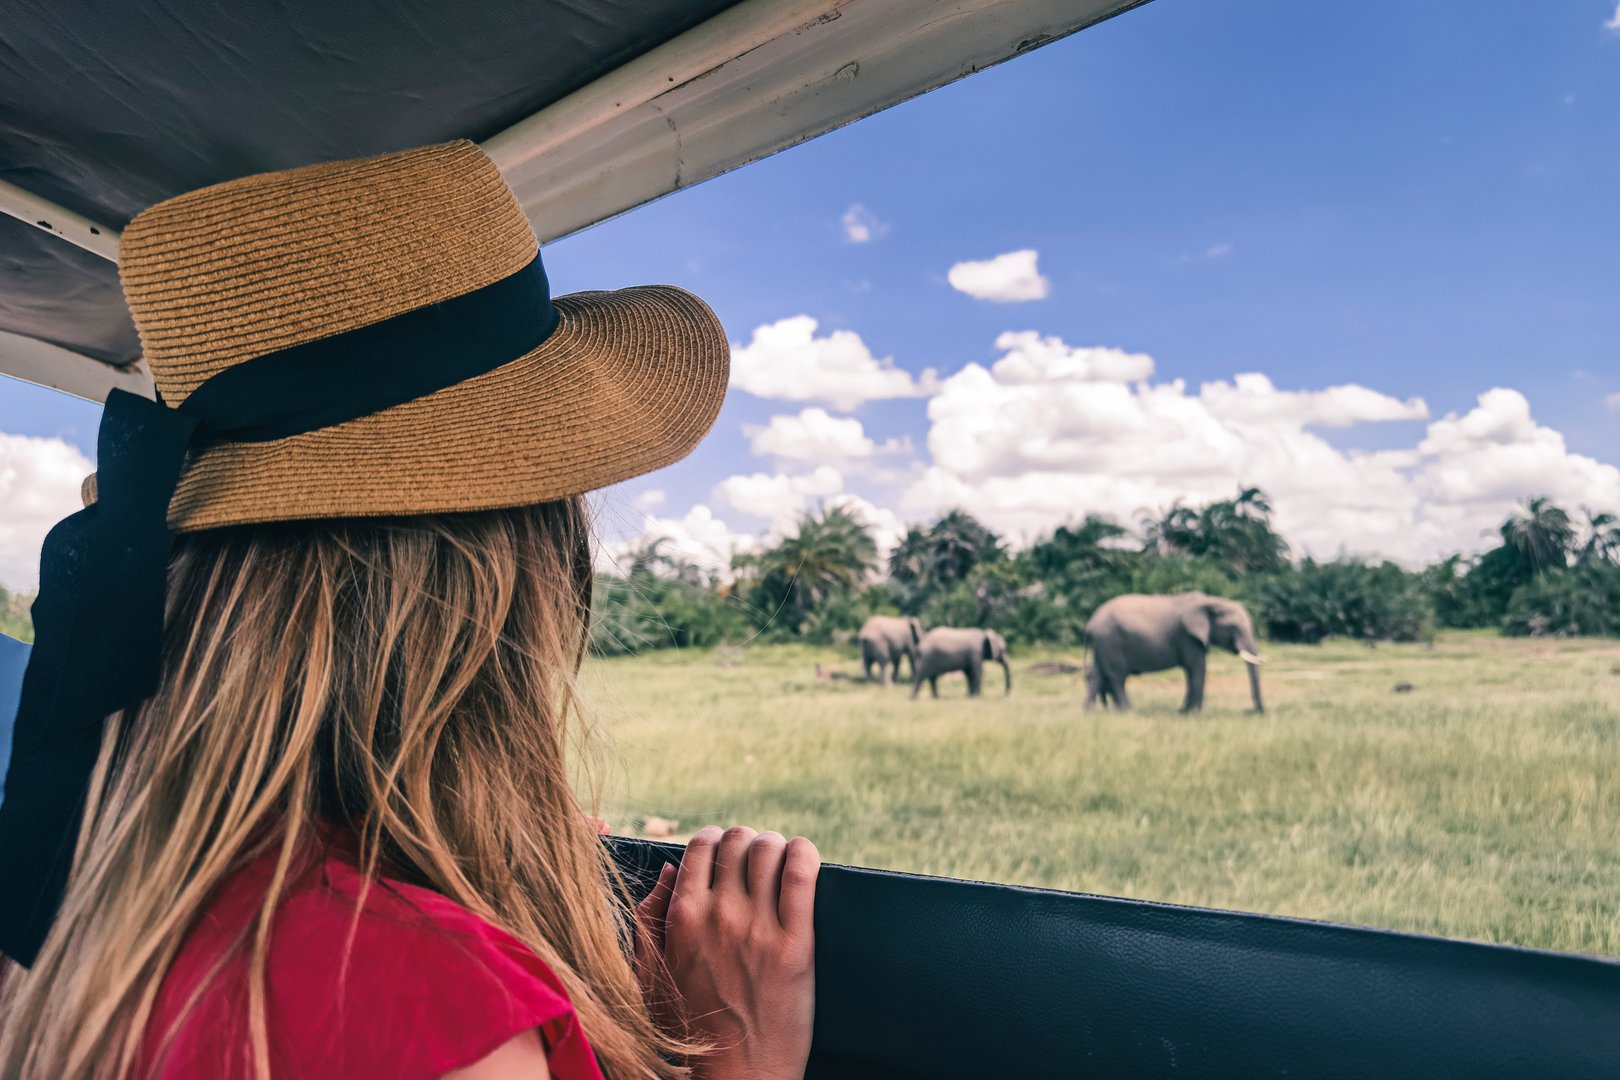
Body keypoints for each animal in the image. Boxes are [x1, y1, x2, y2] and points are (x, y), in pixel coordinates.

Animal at [1084, 592, 1264, 713]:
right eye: (1233, 627)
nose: (1255, 712)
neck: (1212, 601)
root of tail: (1090, 625)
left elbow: (1191, 672)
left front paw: (1184, 712)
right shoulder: (1187, 636)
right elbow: (1197, 669)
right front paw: (1194, 714)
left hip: (1102, 644)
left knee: (1098, 673)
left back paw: (1089, 713)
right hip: (1110, 641)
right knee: (1117, 677)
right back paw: (1128, 711)